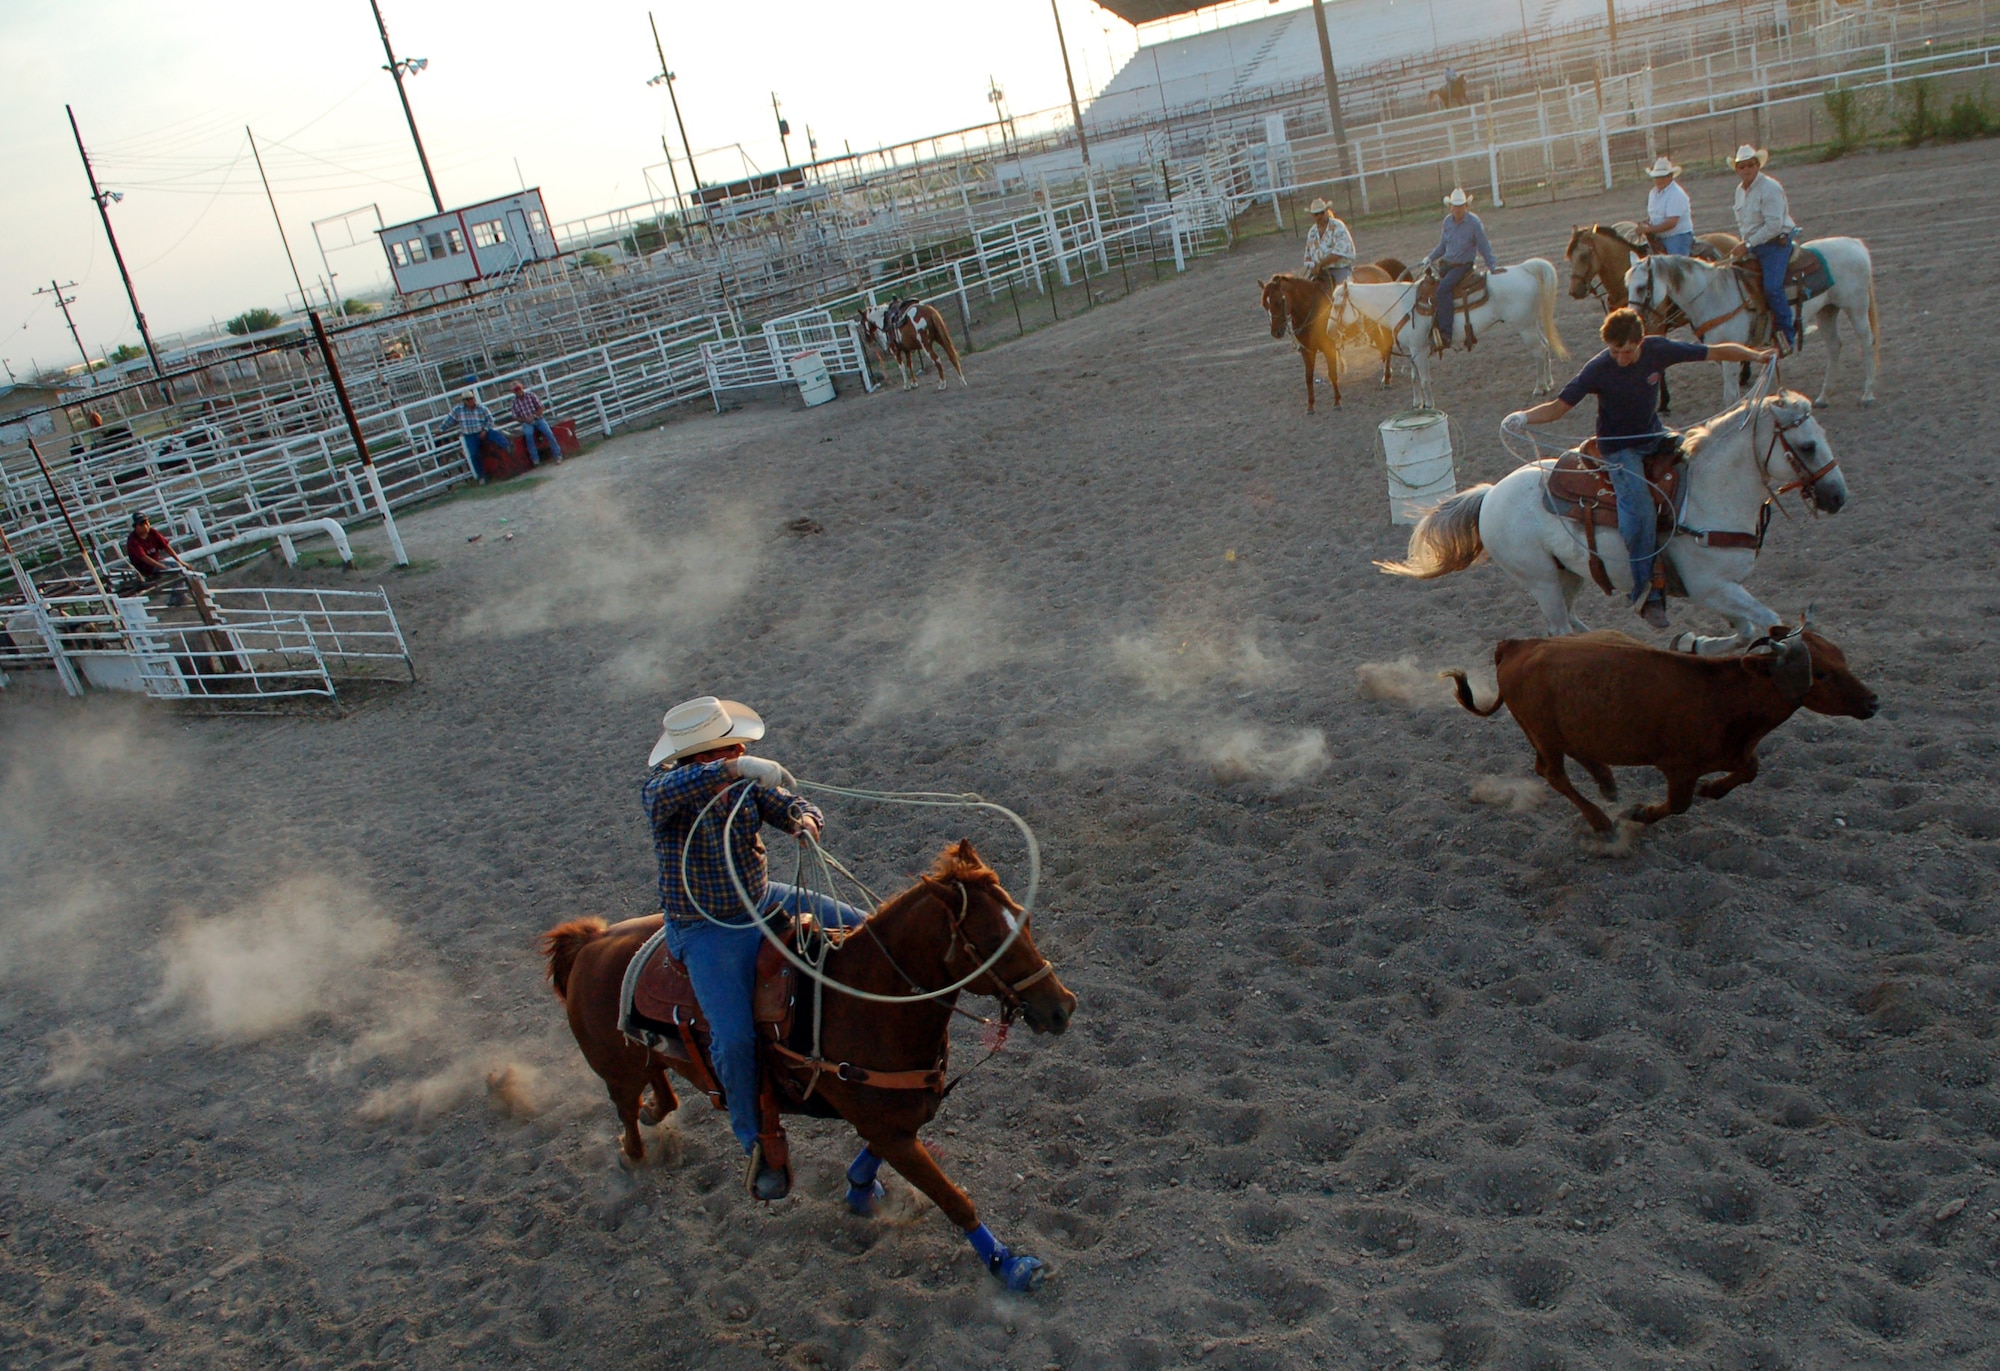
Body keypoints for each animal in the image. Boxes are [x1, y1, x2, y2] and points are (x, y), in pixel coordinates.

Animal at [536, 843, 1080, 1295]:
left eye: (1025, 921)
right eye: (989, 940)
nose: (1062, 1008)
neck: (866, 1003)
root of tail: (591, 943)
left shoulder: (897, 1116)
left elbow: (878, 1158)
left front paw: (860, 1191)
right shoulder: (888, 1125)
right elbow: (953, 1198)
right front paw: (1010, 1266)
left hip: (647, 1052)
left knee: (658, 1088)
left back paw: (657, 1113)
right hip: (615, 1066)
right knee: (625, 1108)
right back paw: (637, 1152)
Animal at [1256, 259, 1416, 413]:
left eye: (1279, 301)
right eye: (1264, 304)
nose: (1276, 333)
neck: (1311, 309)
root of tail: (1378, 268)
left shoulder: (1329, 347)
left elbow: (1332, 373)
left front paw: (1337, 402)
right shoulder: (1307, 351)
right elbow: (1308, 377)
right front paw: (1310, 406)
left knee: (1387, 344)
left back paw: (1387, 379)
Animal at [1328, 257, 1576, 407]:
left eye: (1337, 304)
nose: (1329, 330)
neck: (1400, 305)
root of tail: (1524, 268)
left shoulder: (1418, 350)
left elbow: (1424, 379)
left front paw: (1429, 405)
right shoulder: (1411, 350)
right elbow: (1414, 378)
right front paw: (1417, 404)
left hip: (1524, 327)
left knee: (1539, 351)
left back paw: (1540, 387)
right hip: (1531, 323)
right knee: (1545, 347)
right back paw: (1549, 383)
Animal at [1384, 391, 1848, 655]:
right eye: (1807, 445)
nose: (1837, 497)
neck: (1709, 493)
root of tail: (1490, 494)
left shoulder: (1722, 590)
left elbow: (1746, 628)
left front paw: (1695, 643)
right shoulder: (1709, 586)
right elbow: (1770, 622)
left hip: (1569, 573)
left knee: (1570, 622)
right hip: (1541, 580)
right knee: (1557, 629)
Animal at [1624, 240, 1872, 407]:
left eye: (1641, 287)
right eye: (1627, 285)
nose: (1633, 318)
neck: (1713, 295)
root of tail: (1854, 243)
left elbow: (1730, 396)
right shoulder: (1722, 350)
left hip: (1856, 307)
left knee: (1866, 342)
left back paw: (1867, 394)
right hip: (1827, 311)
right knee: (1834, 346)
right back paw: (1823, 397)